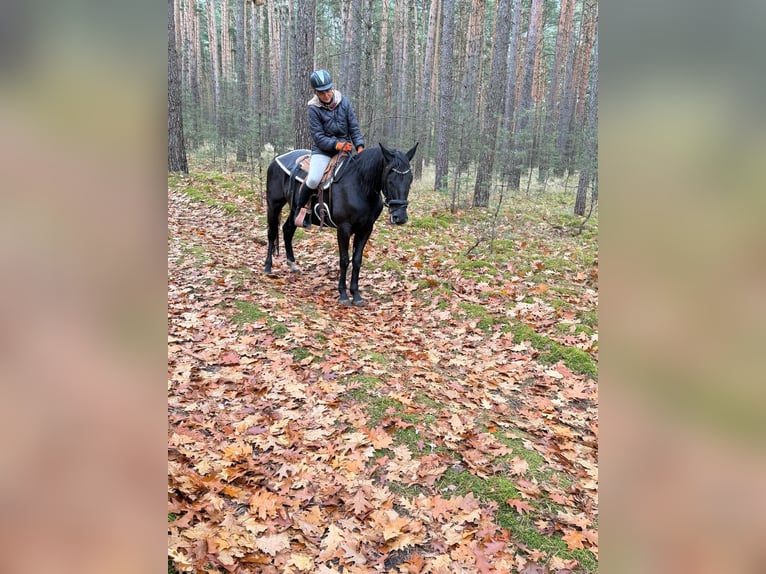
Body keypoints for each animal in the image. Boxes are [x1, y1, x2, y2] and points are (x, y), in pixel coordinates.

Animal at [264, 142, 418, 306]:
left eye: (410, 179)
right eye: (390, 179)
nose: (400, 217)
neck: (360, 185)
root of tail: (277, 159)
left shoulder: (366, 229)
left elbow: (357, 260)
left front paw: (356, 294)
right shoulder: (344, 229)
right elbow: (344, 260)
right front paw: (343, 295)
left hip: (294, 211)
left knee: (287, 231)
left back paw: (293, 265)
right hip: (274, 204)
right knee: (272, 233)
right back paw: (267, 267)